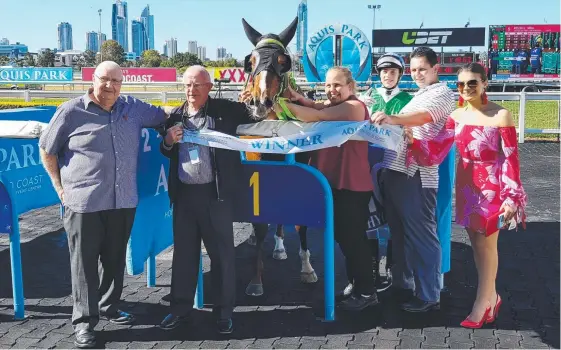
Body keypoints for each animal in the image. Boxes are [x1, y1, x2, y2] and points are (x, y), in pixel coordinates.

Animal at [241, 15, 320, 296]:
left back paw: (279, 247)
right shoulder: (257, 163)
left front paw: (307, 268)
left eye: (283, 62)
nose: (259, 102)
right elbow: (260, 222)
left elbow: (299, 220)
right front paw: (256, 280)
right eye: (250, 61)